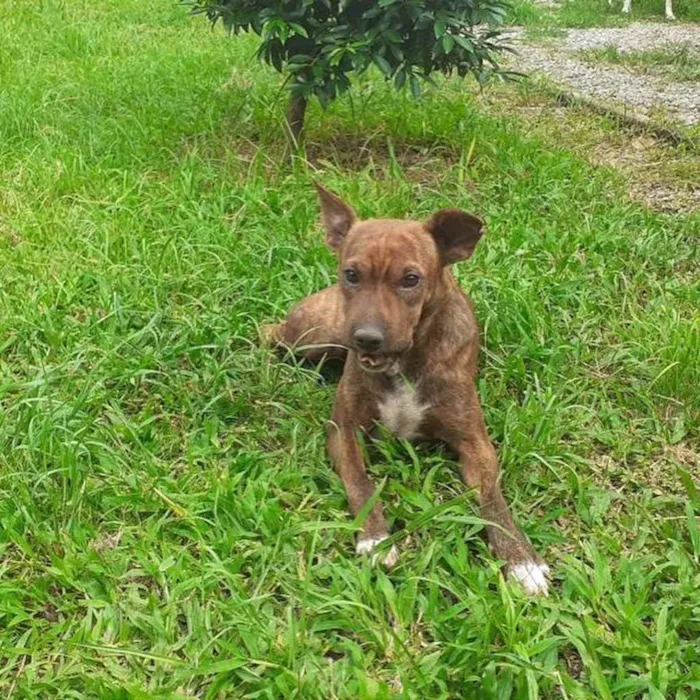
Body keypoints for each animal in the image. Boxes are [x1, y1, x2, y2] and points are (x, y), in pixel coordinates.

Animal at [264, 186, 552, 596]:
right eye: (351, 274)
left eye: (411, 279)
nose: (367, 338)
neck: (404, 361)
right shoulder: (344, 431)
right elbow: (360, 481)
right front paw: (375, 538)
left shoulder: (475, 443)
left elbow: (494, 501)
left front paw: (521, 558)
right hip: (311, 336)